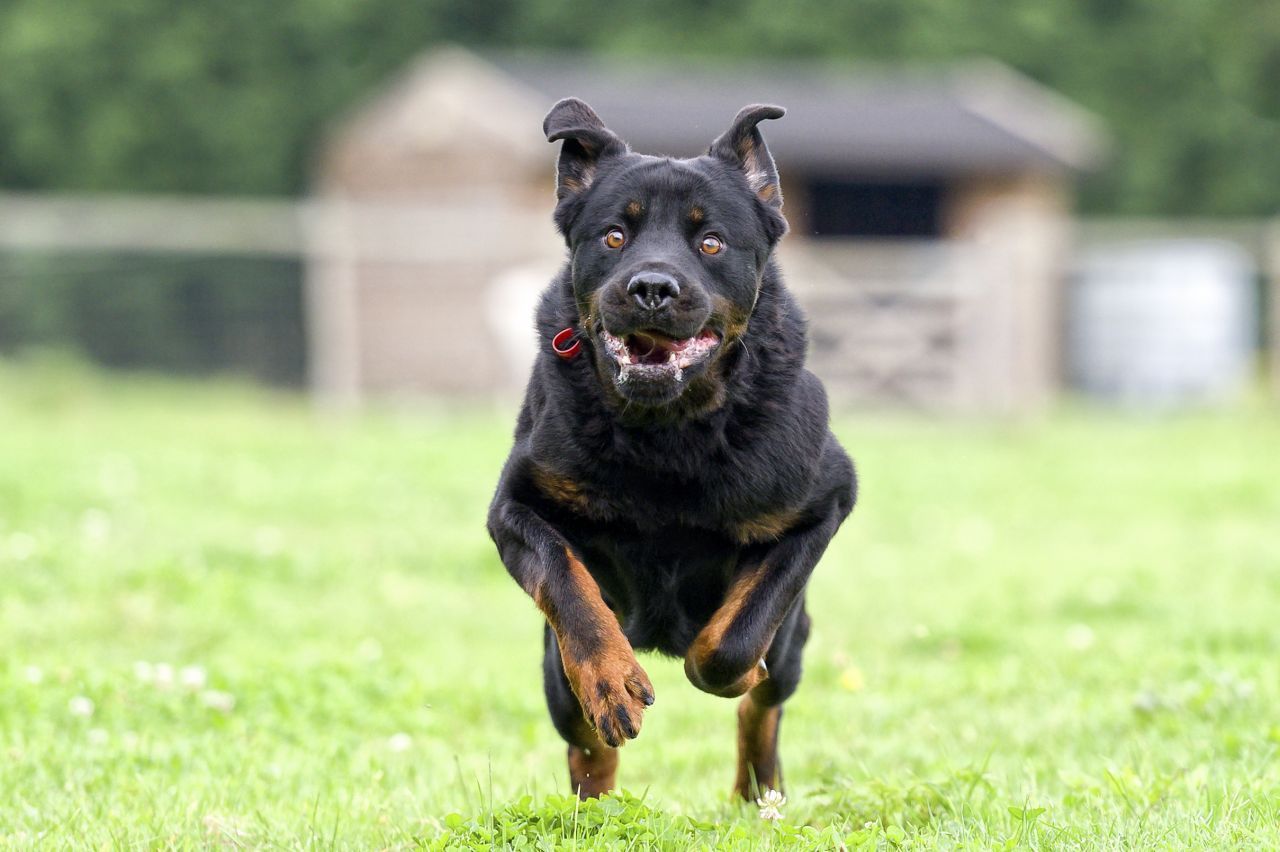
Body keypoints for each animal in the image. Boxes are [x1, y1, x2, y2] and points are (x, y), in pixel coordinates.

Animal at [488, 97, 860, 798]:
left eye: (710, 241)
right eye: (613, 236)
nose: (652, 288)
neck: (668, 428)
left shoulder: (822, 504)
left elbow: (732, 644)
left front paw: (731, 670)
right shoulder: (516, 506)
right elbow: (568, 584)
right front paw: (611, 681)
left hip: (794, 642)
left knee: (765, 704)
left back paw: (756, 793)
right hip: (552, 671)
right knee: (583, 737)